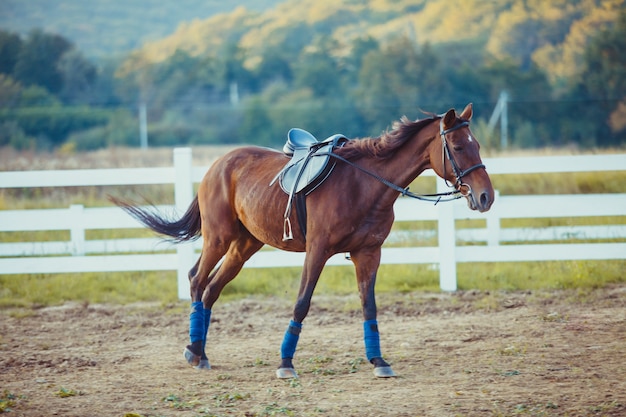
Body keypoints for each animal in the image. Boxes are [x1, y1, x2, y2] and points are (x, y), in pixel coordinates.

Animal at [111, 103, 492, 376]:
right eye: (458, 146)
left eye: (477, 145)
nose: (486, 197)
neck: (364, 184)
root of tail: (217, 165)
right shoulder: (318, 251)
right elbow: (301, 303)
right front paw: (285, 364)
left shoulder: (369, 253)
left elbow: (368, 305)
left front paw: (379, 361)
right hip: (218, 238)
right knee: (196, 280)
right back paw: (193, 351)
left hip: (244, 246)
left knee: (211, 290)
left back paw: (201, 352)